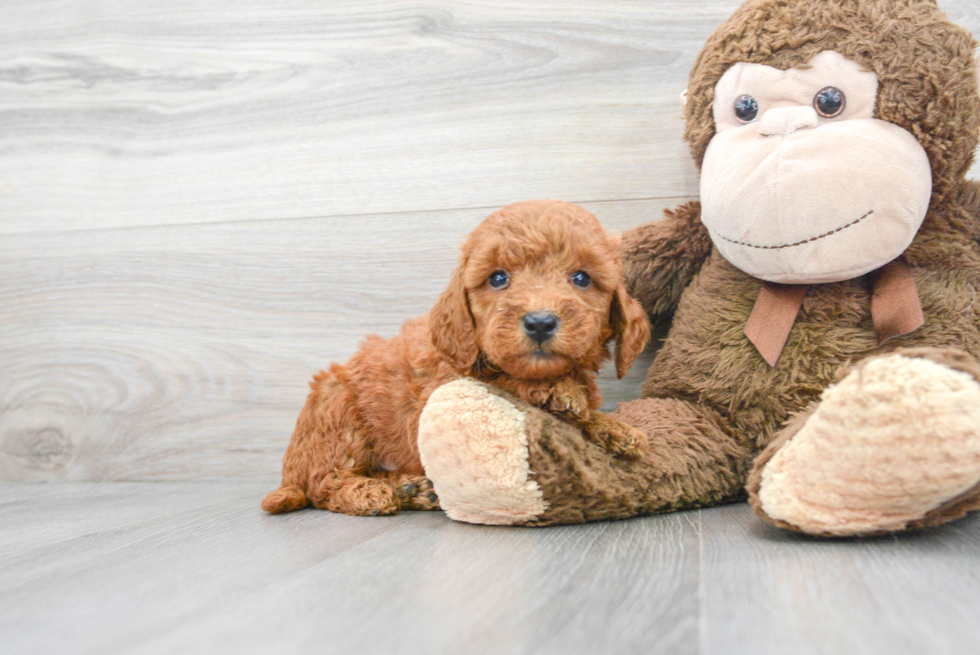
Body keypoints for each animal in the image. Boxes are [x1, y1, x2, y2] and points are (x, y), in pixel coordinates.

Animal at [262, 200, 652, 516]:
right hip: (338, 417)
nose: (540, 322)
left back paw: (412, 489)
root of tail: (289, 474)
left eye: (581, 278)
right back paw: (371, 493)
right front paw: (558, 391)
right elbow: (503, 379)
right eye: (498, 278)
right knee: (325, 483)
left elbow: (585, 415)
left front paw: (615, 429)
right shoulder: (440, 391)